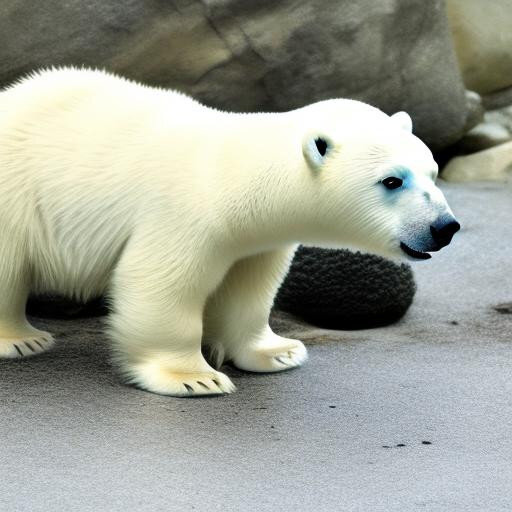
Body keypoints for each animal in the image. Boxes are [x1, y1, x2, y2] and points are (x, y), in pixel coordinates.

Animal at [0, 68, 460, 396]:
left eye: (433, 172)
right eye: (392, 181)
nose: (444, 227)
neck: (235, 174)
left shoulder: (256, 239)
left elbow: (249, 290)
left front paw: (278, 352)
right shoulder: (184, 212)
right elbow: (159, 284)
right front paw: (193, 377)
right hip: (15, 193)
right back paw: (20, 341)